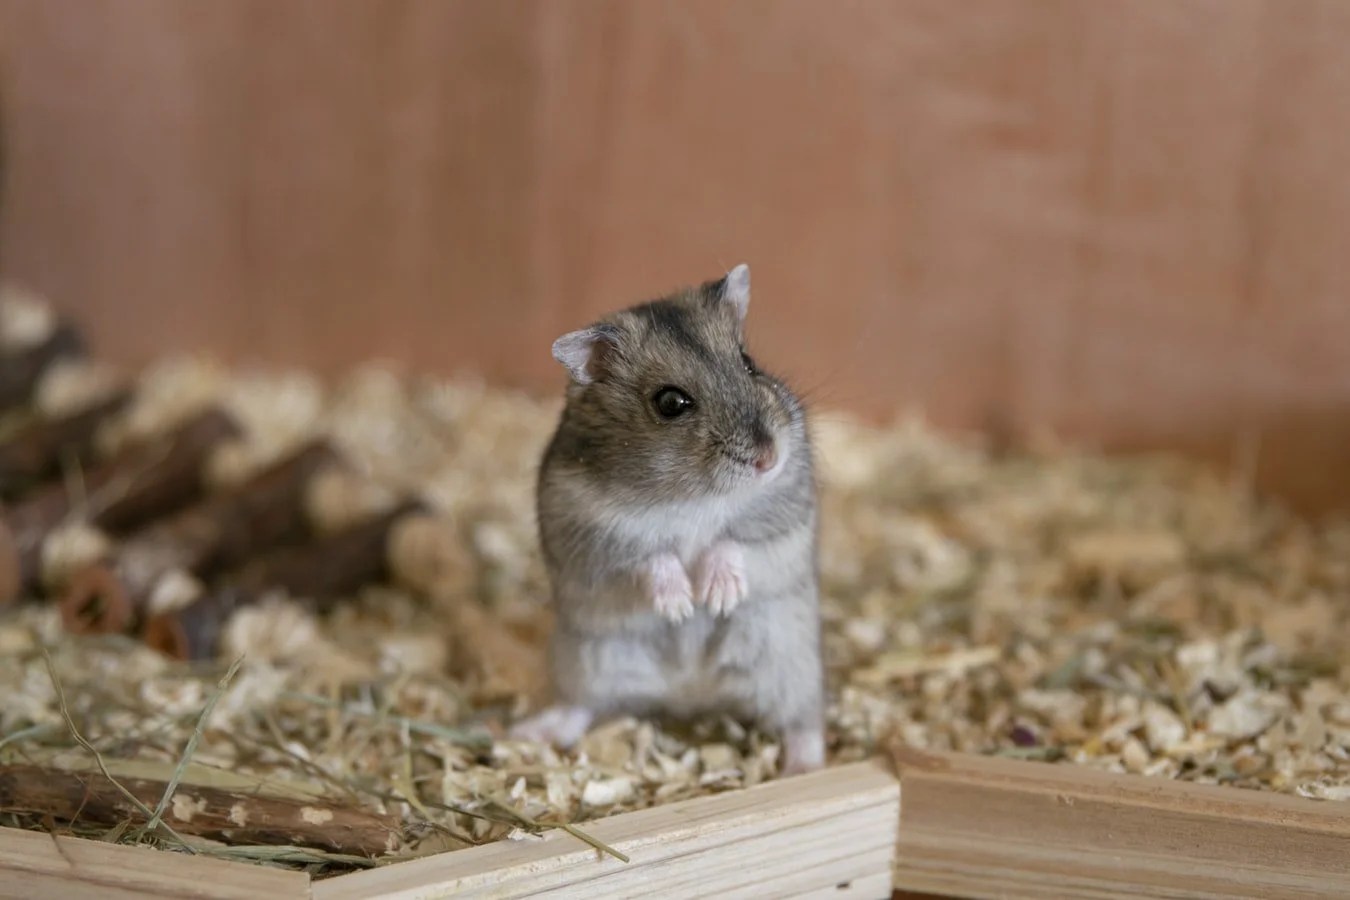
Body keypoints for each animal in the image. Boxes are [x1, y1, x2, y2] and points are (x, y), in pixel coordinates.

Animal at [510, 263, 826, 776]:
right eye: (671, 403)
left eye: (748, 362)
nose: (768, 458)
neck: (693, 494)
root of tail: (690, 694)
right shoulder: (592, 534)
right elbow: (650, 557)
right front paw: (680, 605)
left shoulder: (784, 515)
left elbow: (733, 542)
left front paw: (715, 597)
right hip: (588, 661)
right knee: (579, 706)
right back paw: (527, 733)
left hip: (790, 663)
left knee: (804, 722)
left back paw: (804, 769)